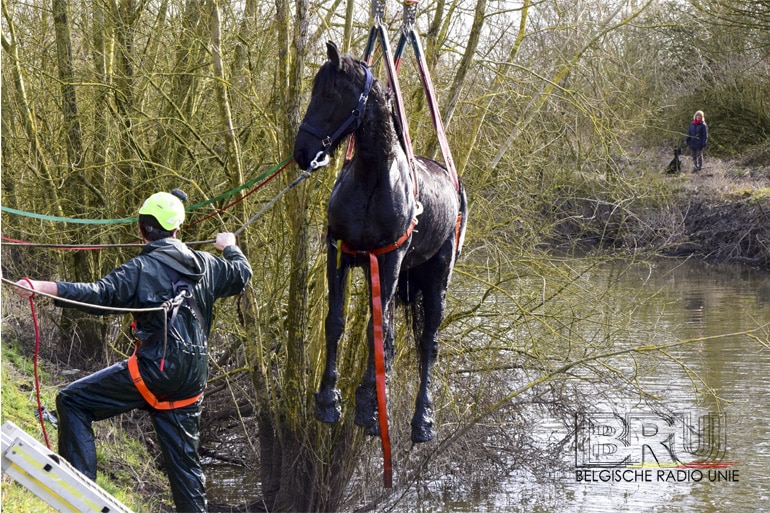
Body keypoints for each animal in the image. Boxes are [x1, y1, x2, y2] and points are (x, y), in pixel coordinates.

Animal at [292, 42, 464, 442]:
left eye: (328, 94)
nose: (302, 152)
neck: (372, 180)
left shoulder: (389, 260)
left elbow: (377, 332)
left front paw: (366, 407)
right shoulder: (338, 251)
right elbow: (336, 321)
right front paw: (329, 400)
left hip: (435, 279)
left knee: (428, 342)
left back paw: (422, 418)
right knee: (391, 336)